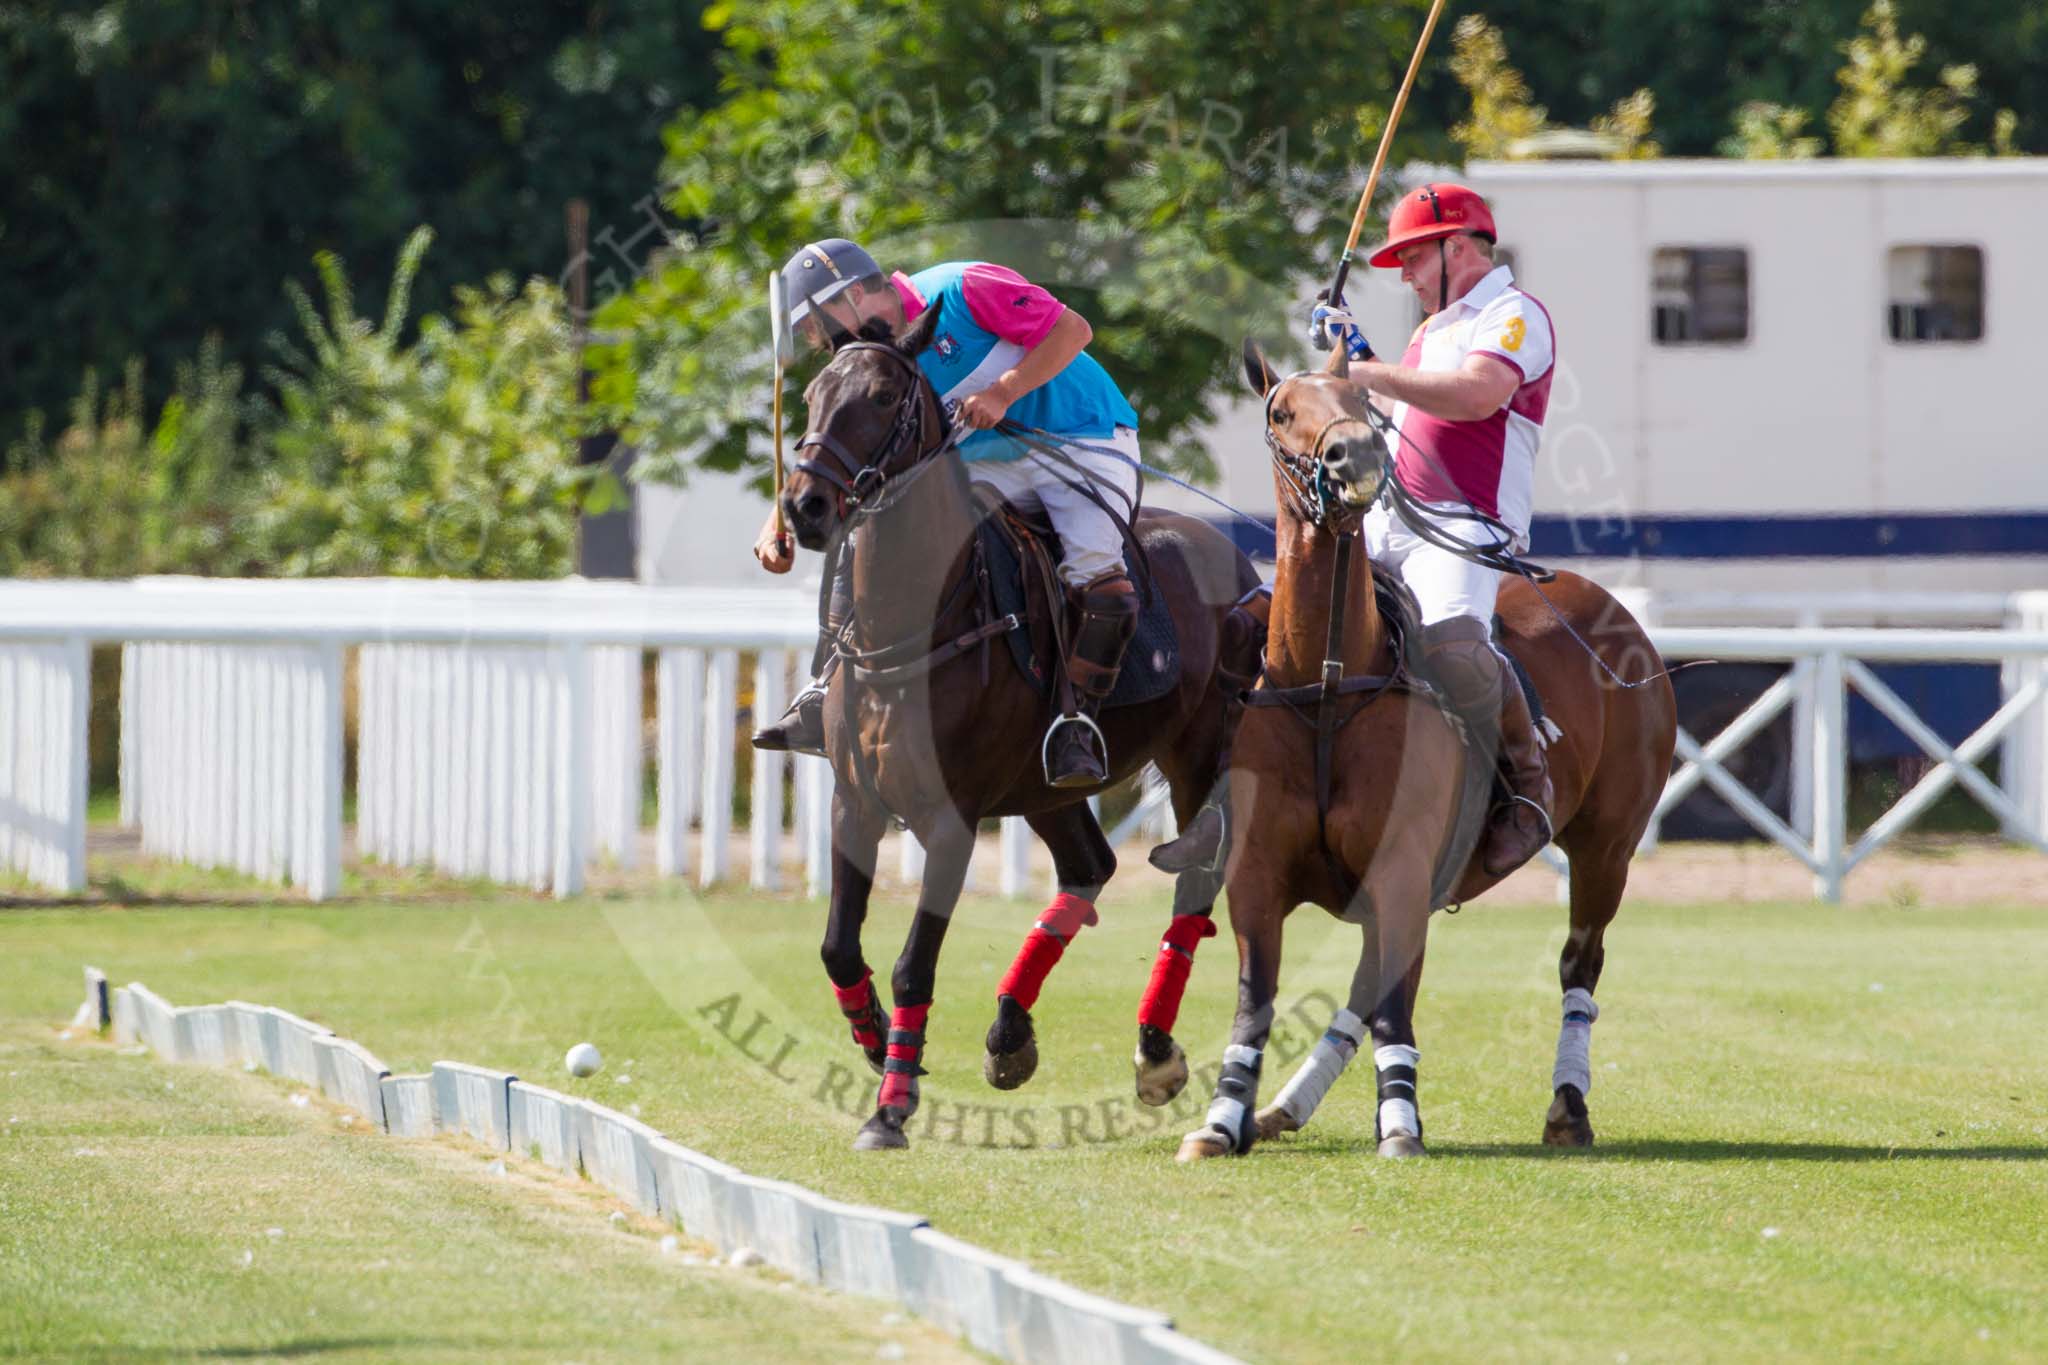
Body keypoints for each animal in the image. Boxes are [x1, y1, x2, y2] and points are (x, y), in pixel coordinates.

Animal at [782, 313, 1261, 1154]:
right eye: (810, 394)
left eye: (882, 397)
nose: (805, 505)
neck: (911, 624)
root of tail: (1237, 556)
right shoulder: (854, 802)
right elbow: (838, 945)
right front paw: (874, 1038)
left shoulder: (951, 820)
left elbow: (914, 963)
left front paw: (889, 1107)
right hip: (1049, 787)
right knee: (1090, 865)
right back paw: (1010, 1032)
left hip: (1202, 751)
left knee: (1196, 880)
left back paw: (1154, 1049)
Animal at [1179, 343, 1671, 1162]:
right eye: (1282, 410)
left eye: (1360, 400)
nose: (1355, 455)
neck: (1327, 685)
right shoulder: (1256, 876)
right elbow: (1258, 1001)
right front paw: (1222, 1120)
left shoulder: (1402, 868)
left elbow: (1394, 1011)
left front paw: (1401, 1124)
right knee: (1369, 979)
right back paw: (1284, 1107)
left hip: (1608, 845)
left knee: (1579, 965)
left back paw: (1568, 1106)